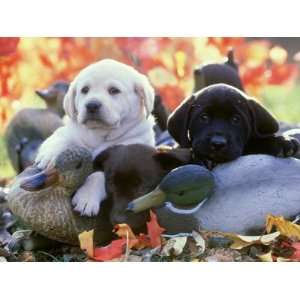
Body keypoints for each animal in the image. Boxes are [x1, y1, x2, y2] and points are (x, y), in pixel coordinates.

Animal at [35, 59, 155, 216]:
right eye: (85, 90)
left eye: (114, 90)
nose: (92, 105)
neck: (100, 134)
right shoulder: (69, 130)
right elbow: (60, 138)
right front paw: (49, 156)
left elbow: (99, 175)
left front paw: (86, 198)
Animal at [168, 83, 298, 168]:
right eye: (204, 117)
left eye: (236, 119)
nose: (218, 144)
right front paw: (200, 158)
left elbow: (258, 142)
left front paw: (282, 141)